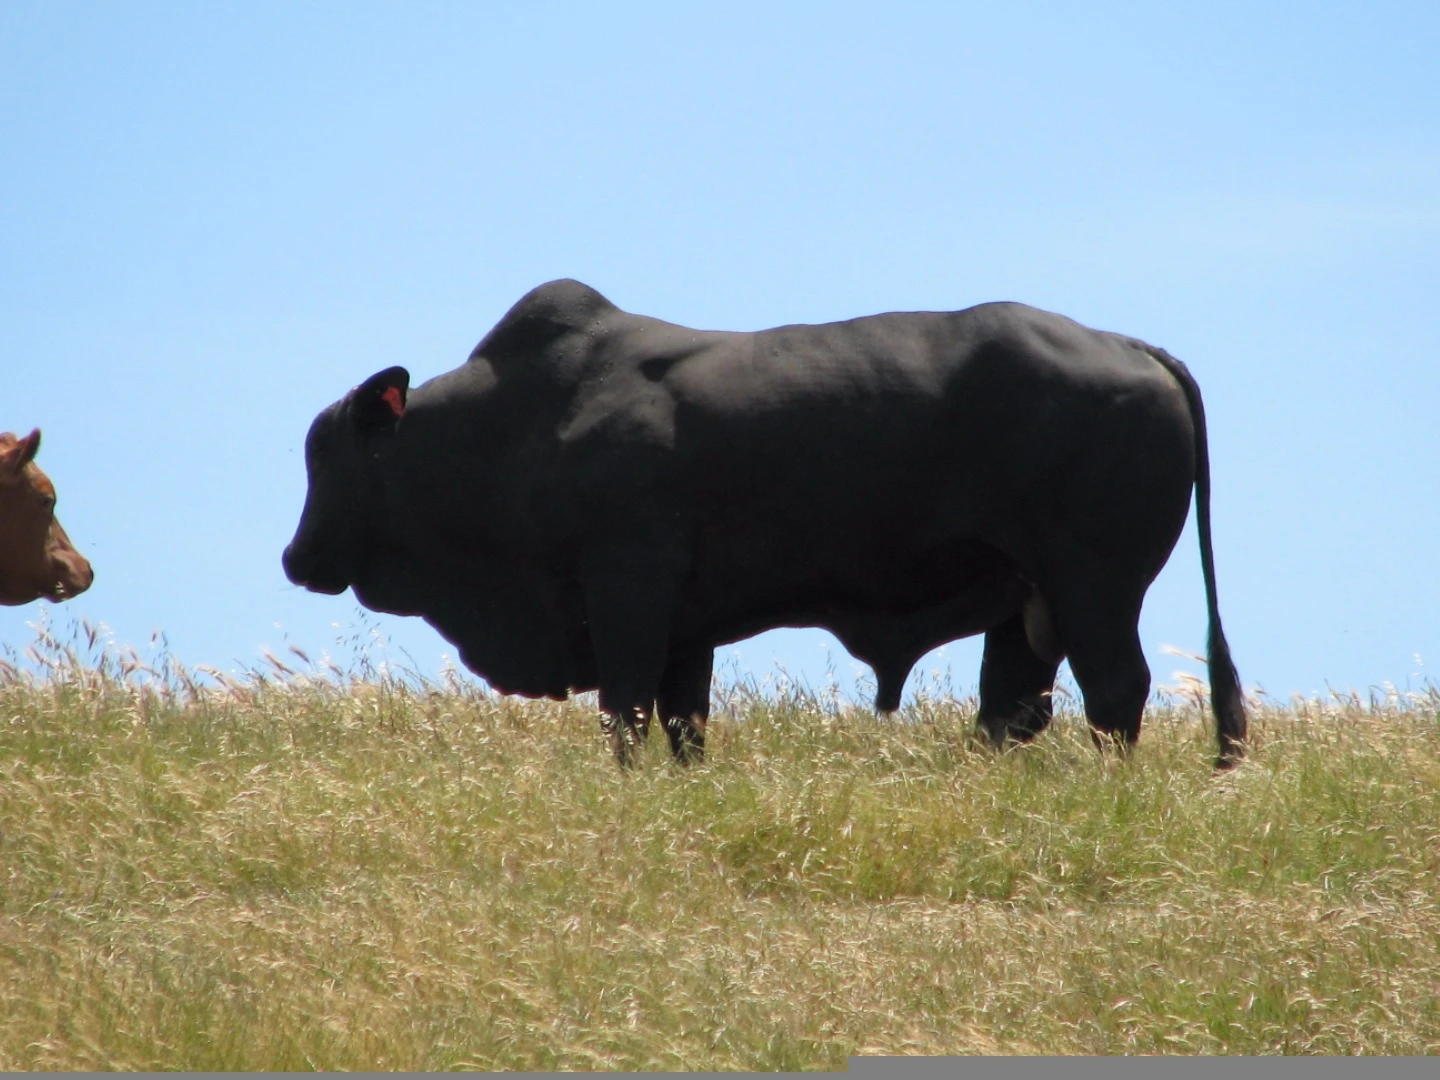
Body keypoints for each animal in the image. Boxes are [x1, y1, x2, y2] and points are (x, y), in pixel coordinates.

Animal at [283, 279, 1246, 768]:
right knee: (1011, 709)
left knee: (1115, 694)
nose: (296, 557)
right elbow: (683, 724)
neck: (516, 423)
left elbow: (627, 713)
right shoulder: (686, 624)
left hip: (1095, 586)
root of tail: (1127, 346)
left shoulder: (628, 589)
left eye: (327, 455)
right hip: (1026, 602)